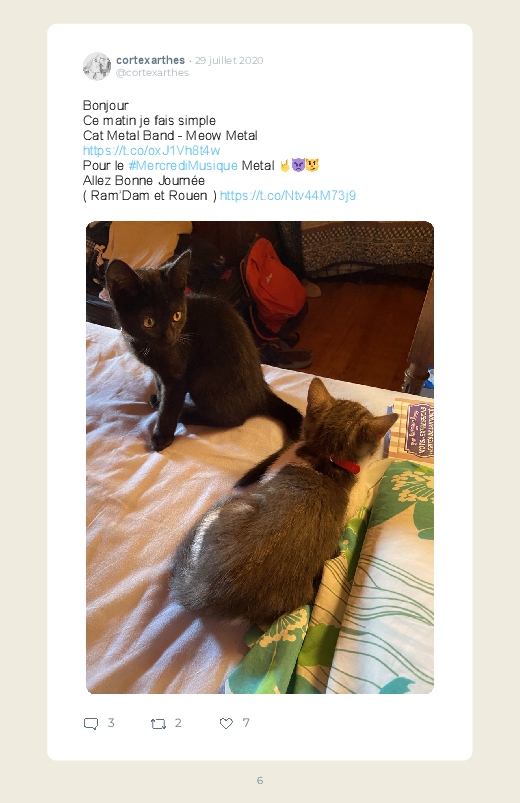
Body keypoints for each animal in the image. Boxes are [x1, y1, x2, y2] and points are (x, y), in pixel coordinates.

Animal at [105, 250, 303, 452]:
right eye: (148, 322)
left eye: (177, 316)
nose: (169, 337)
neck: (149, 347)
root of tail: (261, 391)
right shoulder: (158, 370)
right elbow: (159, 382)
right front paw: (158, 398)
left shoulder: (177, 377)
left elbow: (169, 408)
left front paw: (162, 435)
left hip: (203, 381)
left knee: (235, 419)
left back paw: (187, 414)